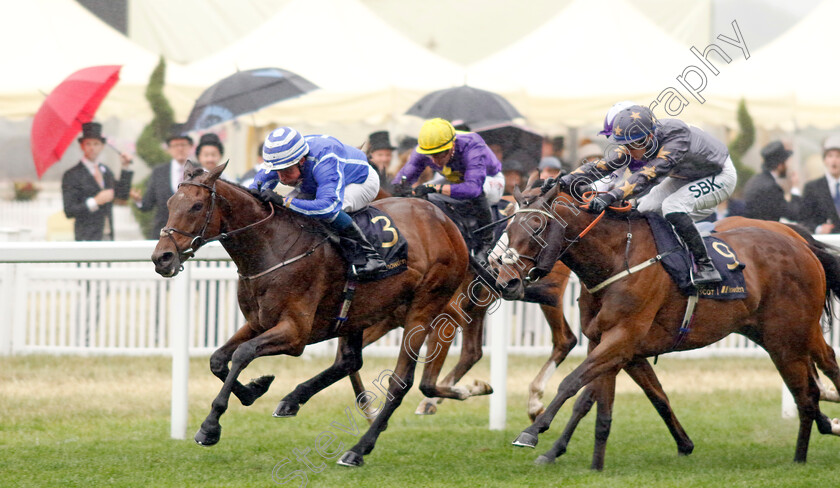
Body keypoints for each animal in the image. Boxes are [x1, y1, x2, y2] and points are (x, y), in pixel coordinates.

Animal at [151, 165, 466, 468]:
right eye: (169, 203)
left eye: (197, 206)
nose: (161, 258)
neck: (272, 247)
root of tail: (446, 222)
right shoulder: (258, 322)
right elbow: (218, 359)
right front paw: (255, 389)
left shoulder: (295, 333)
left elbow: (243, 353)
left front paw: (210, 427)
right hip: (358, 314)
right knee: (349, 361)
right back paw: (292, 401)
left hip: (424, 306)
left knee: (399, 381)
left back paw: (358, 450)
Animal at [492, 182, 840, 468]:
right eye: (508, 227)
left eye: (536, 227)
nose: (506, 282)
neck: (617, 260)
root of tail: (803, 246)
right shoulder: (613, 346)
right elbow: (613, 398)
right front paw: (564, 453)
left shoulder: (621, 339)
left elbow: (572, 384)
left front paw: (533, 431)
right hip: (775, 336)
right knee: (812, 385)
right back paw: (808, 444)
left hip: (790, 337)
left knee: (817, 379)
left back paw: (813, 441)